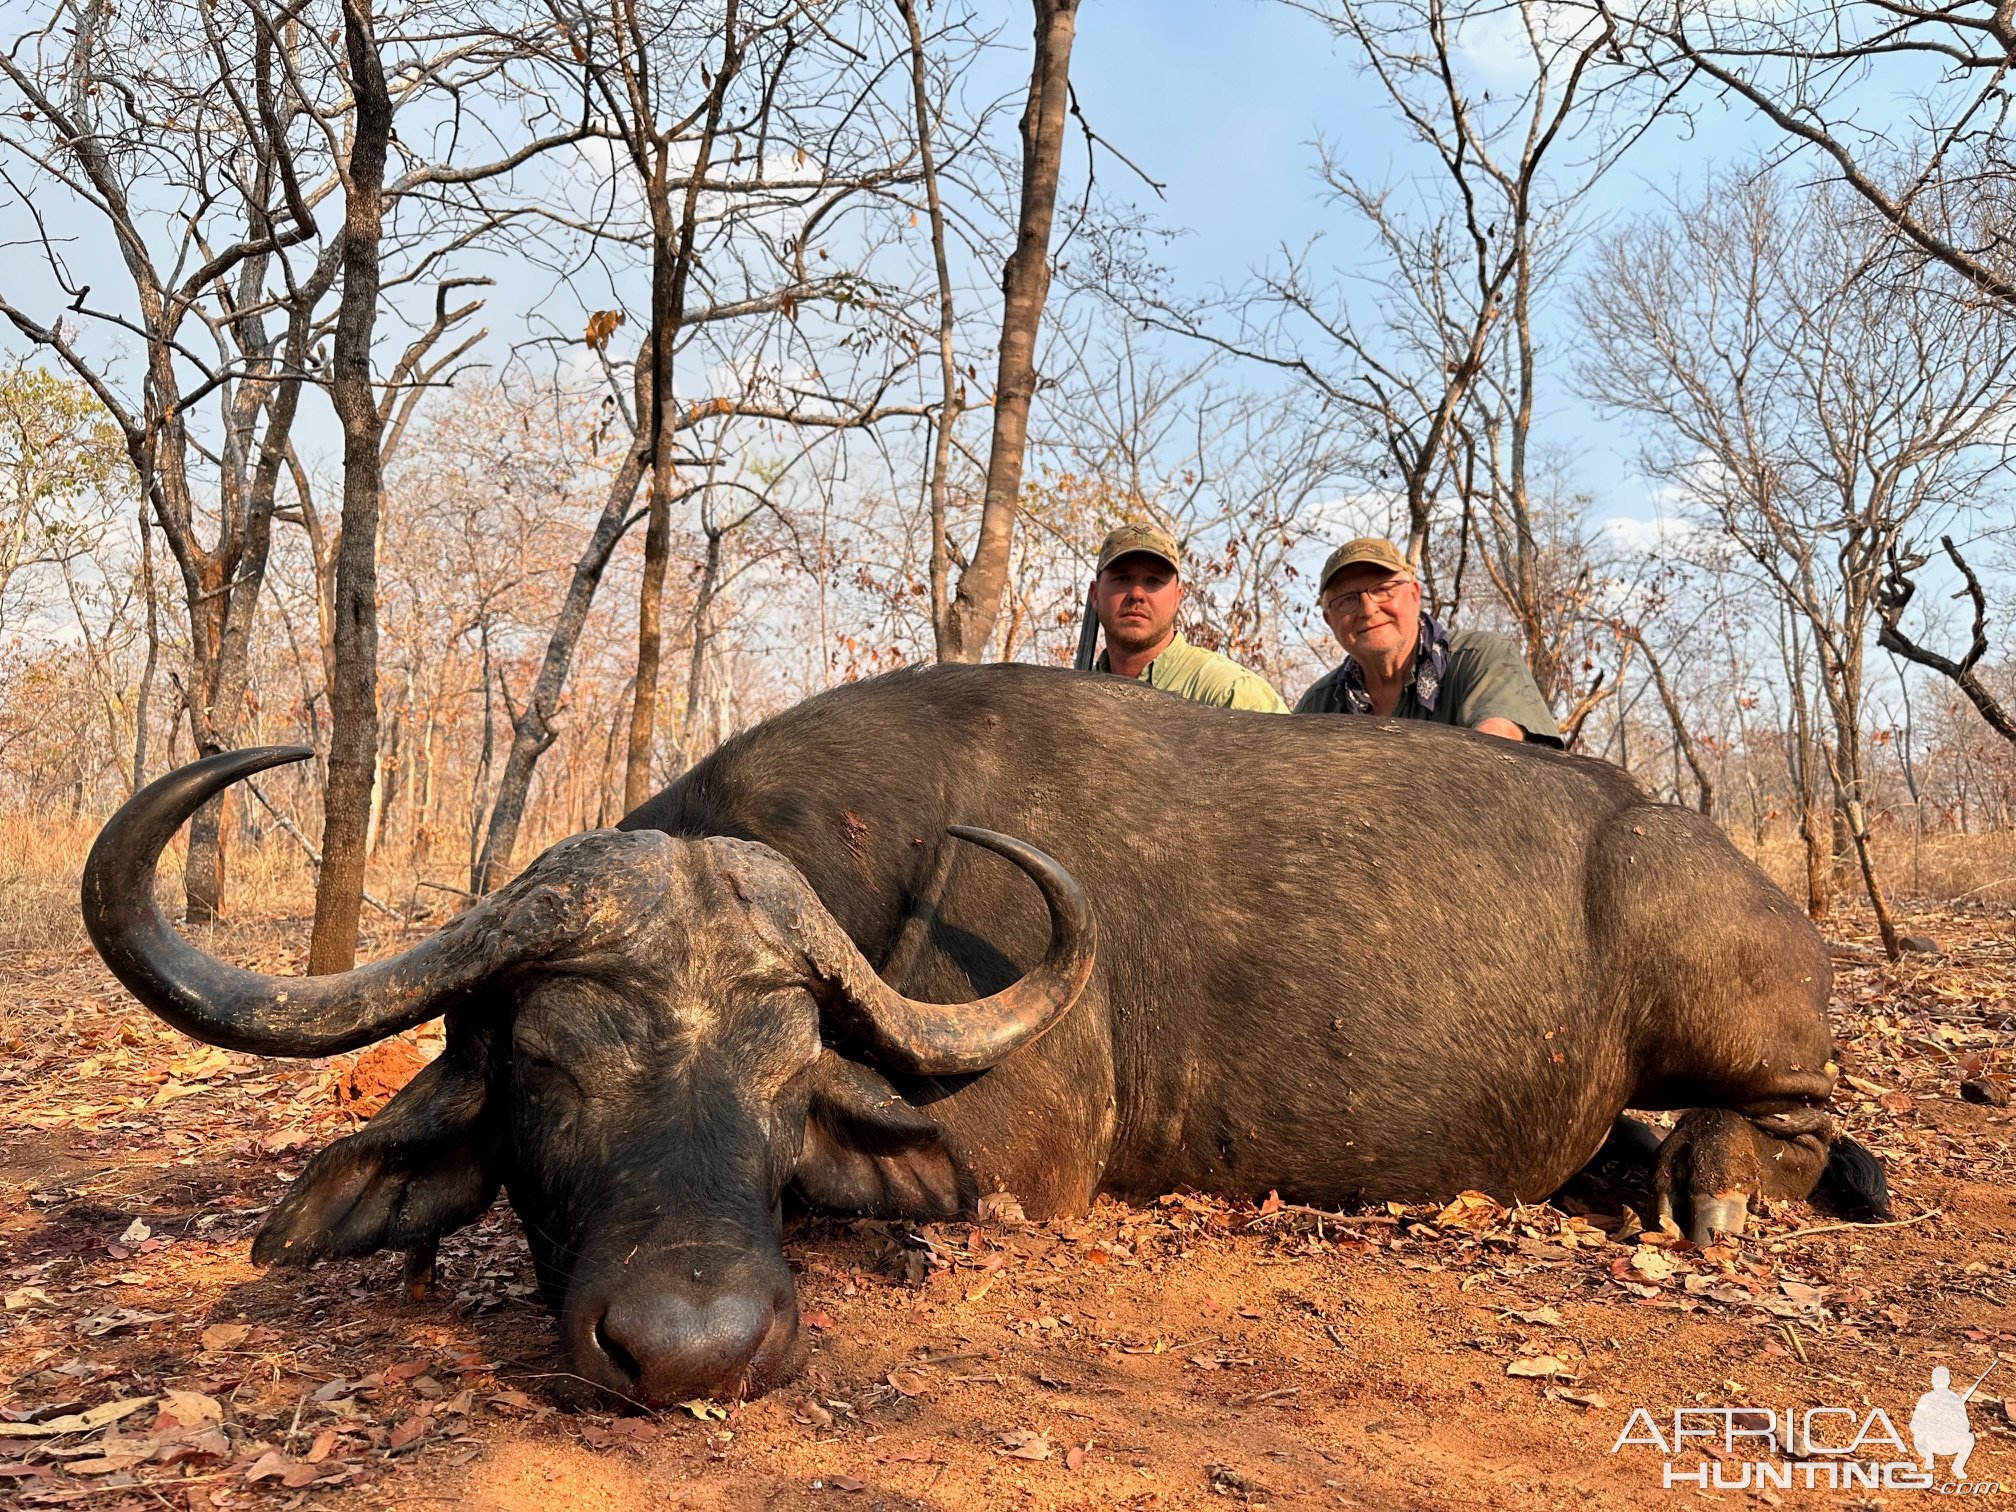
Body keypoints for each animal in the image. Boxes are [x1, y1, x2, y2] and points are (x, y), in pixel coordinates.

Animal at [82, 661, 1886, 1411]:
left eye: (785, 1080)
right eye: (546, 1068)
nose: (694, 1348)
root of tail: (1662, 826)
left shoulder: (1015, 1158)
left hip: (1729, 999)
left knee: (1792, 1116)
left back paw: (1715, 1184)